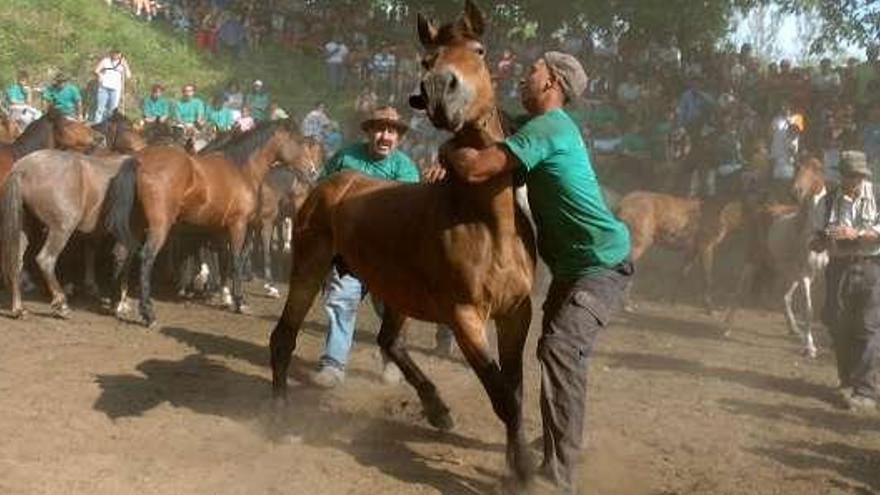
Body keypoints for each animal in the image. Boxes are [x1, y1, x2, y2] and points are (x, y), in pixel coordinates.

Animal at [104, 119, 316, 328]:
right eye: (299, 141)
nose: (313, 171)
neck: (242, 170)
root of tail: (138, 160)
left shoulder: (221, 229)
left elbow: (223, 259)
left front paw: (225, 295)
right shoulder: (239, 224)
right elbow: (236, 259)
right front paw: (240, 302)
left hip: (136, 224)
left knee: (122, 253)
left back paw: (119, 304)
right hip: (159, 226)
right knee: (146, 257)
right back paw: (148, 313)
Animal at [268, 0, 536, 480]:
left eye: (480, 50)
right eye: (427, 59)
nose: (439, 89)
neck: (488, 222)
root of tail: (327, 183)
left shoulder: (516, 313)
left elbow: (516, 391)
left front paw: (515, 457)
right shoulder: (465, 316)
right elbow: (502, 394)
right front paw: (522, 472)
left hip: (396, 291)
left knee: (389, 342)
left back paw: (437, 409)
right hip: (309, 268)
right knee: (284, 337)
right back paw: (281, 413)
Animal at [616, 190, 744, 310]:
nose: (720, 228)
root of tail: (621, 203)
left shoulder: (693, 248)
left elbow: (682, 274)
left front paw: (672, 301)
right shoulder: (706, 245)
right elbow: (707, 278)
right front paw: (710, 307)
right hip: (640, 242)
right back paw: (627, 304)